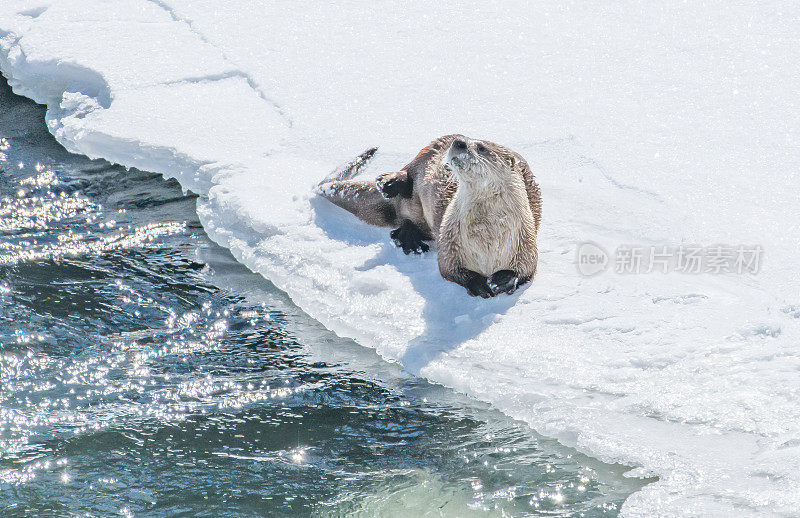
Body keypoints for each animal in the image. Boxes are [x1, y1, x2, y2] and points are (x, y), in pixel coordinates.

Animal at [316, 134, 540, 298]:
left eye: (482, 147)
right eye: (468, 142)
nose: (459, 142)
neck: (488, 236)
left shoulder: (526, 241)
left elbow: (528, 269)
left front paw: (504, 280)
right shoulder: (450, 241)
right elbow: (449, 269)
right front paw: (478, 284)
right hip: (426, 153)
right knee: (406, 178)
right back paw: (392, 190)